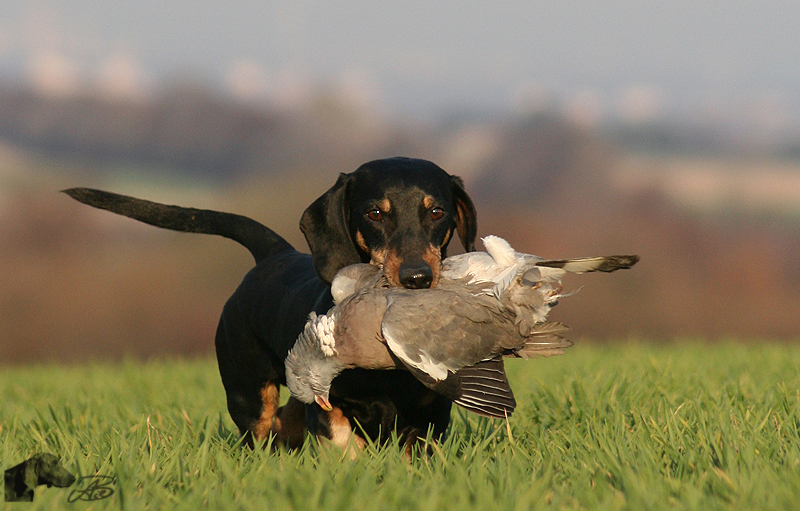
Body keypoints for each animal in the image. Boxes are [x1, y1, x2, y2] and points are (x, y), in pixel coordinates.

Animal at [65, 157, 476, 452]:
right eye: (375, 213)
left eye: (437, 212)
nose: (417, 277)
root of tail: (273, 255)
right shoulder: (327, 407)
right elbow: (341, 442)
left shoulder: (429, 416)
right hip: (248, 392)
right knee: (264, 427)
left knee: (285, 422)